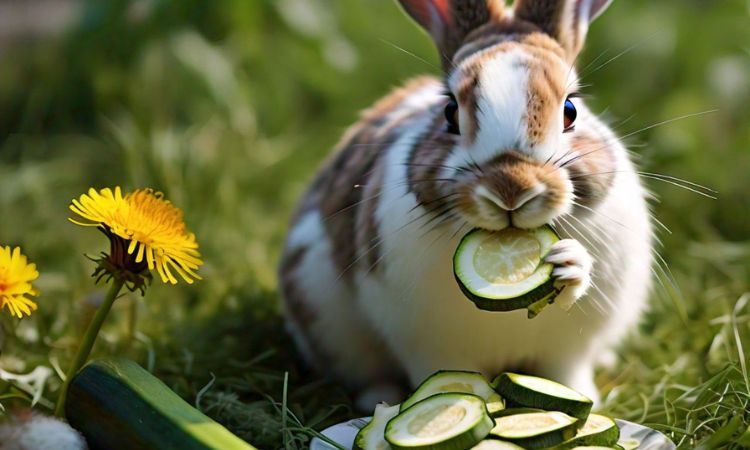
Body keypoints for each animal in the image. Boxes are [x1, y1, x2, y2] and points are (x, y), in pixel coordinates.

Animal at [280, 0, 656, 410]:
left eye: (570, 110)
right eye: (449, 113)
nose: (511, 188)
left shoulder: (568, 352)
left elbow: (566, 375)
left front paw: (569, 263)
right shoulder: (430, 347)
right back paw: (379, 400)